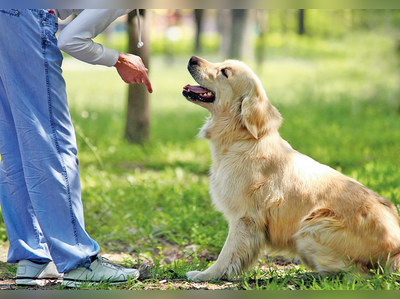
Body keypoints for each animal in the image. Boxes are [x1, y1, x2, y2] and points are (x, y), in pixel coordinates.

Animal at [182, 55, 400, 282]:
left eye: (224, 72)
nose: (193, 58)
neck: (242, 140)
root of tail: (395, 250)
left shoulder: (245, 218)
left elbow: (227, 254)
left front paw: (206, 274)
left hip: (310, 229)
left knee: (357, 274)